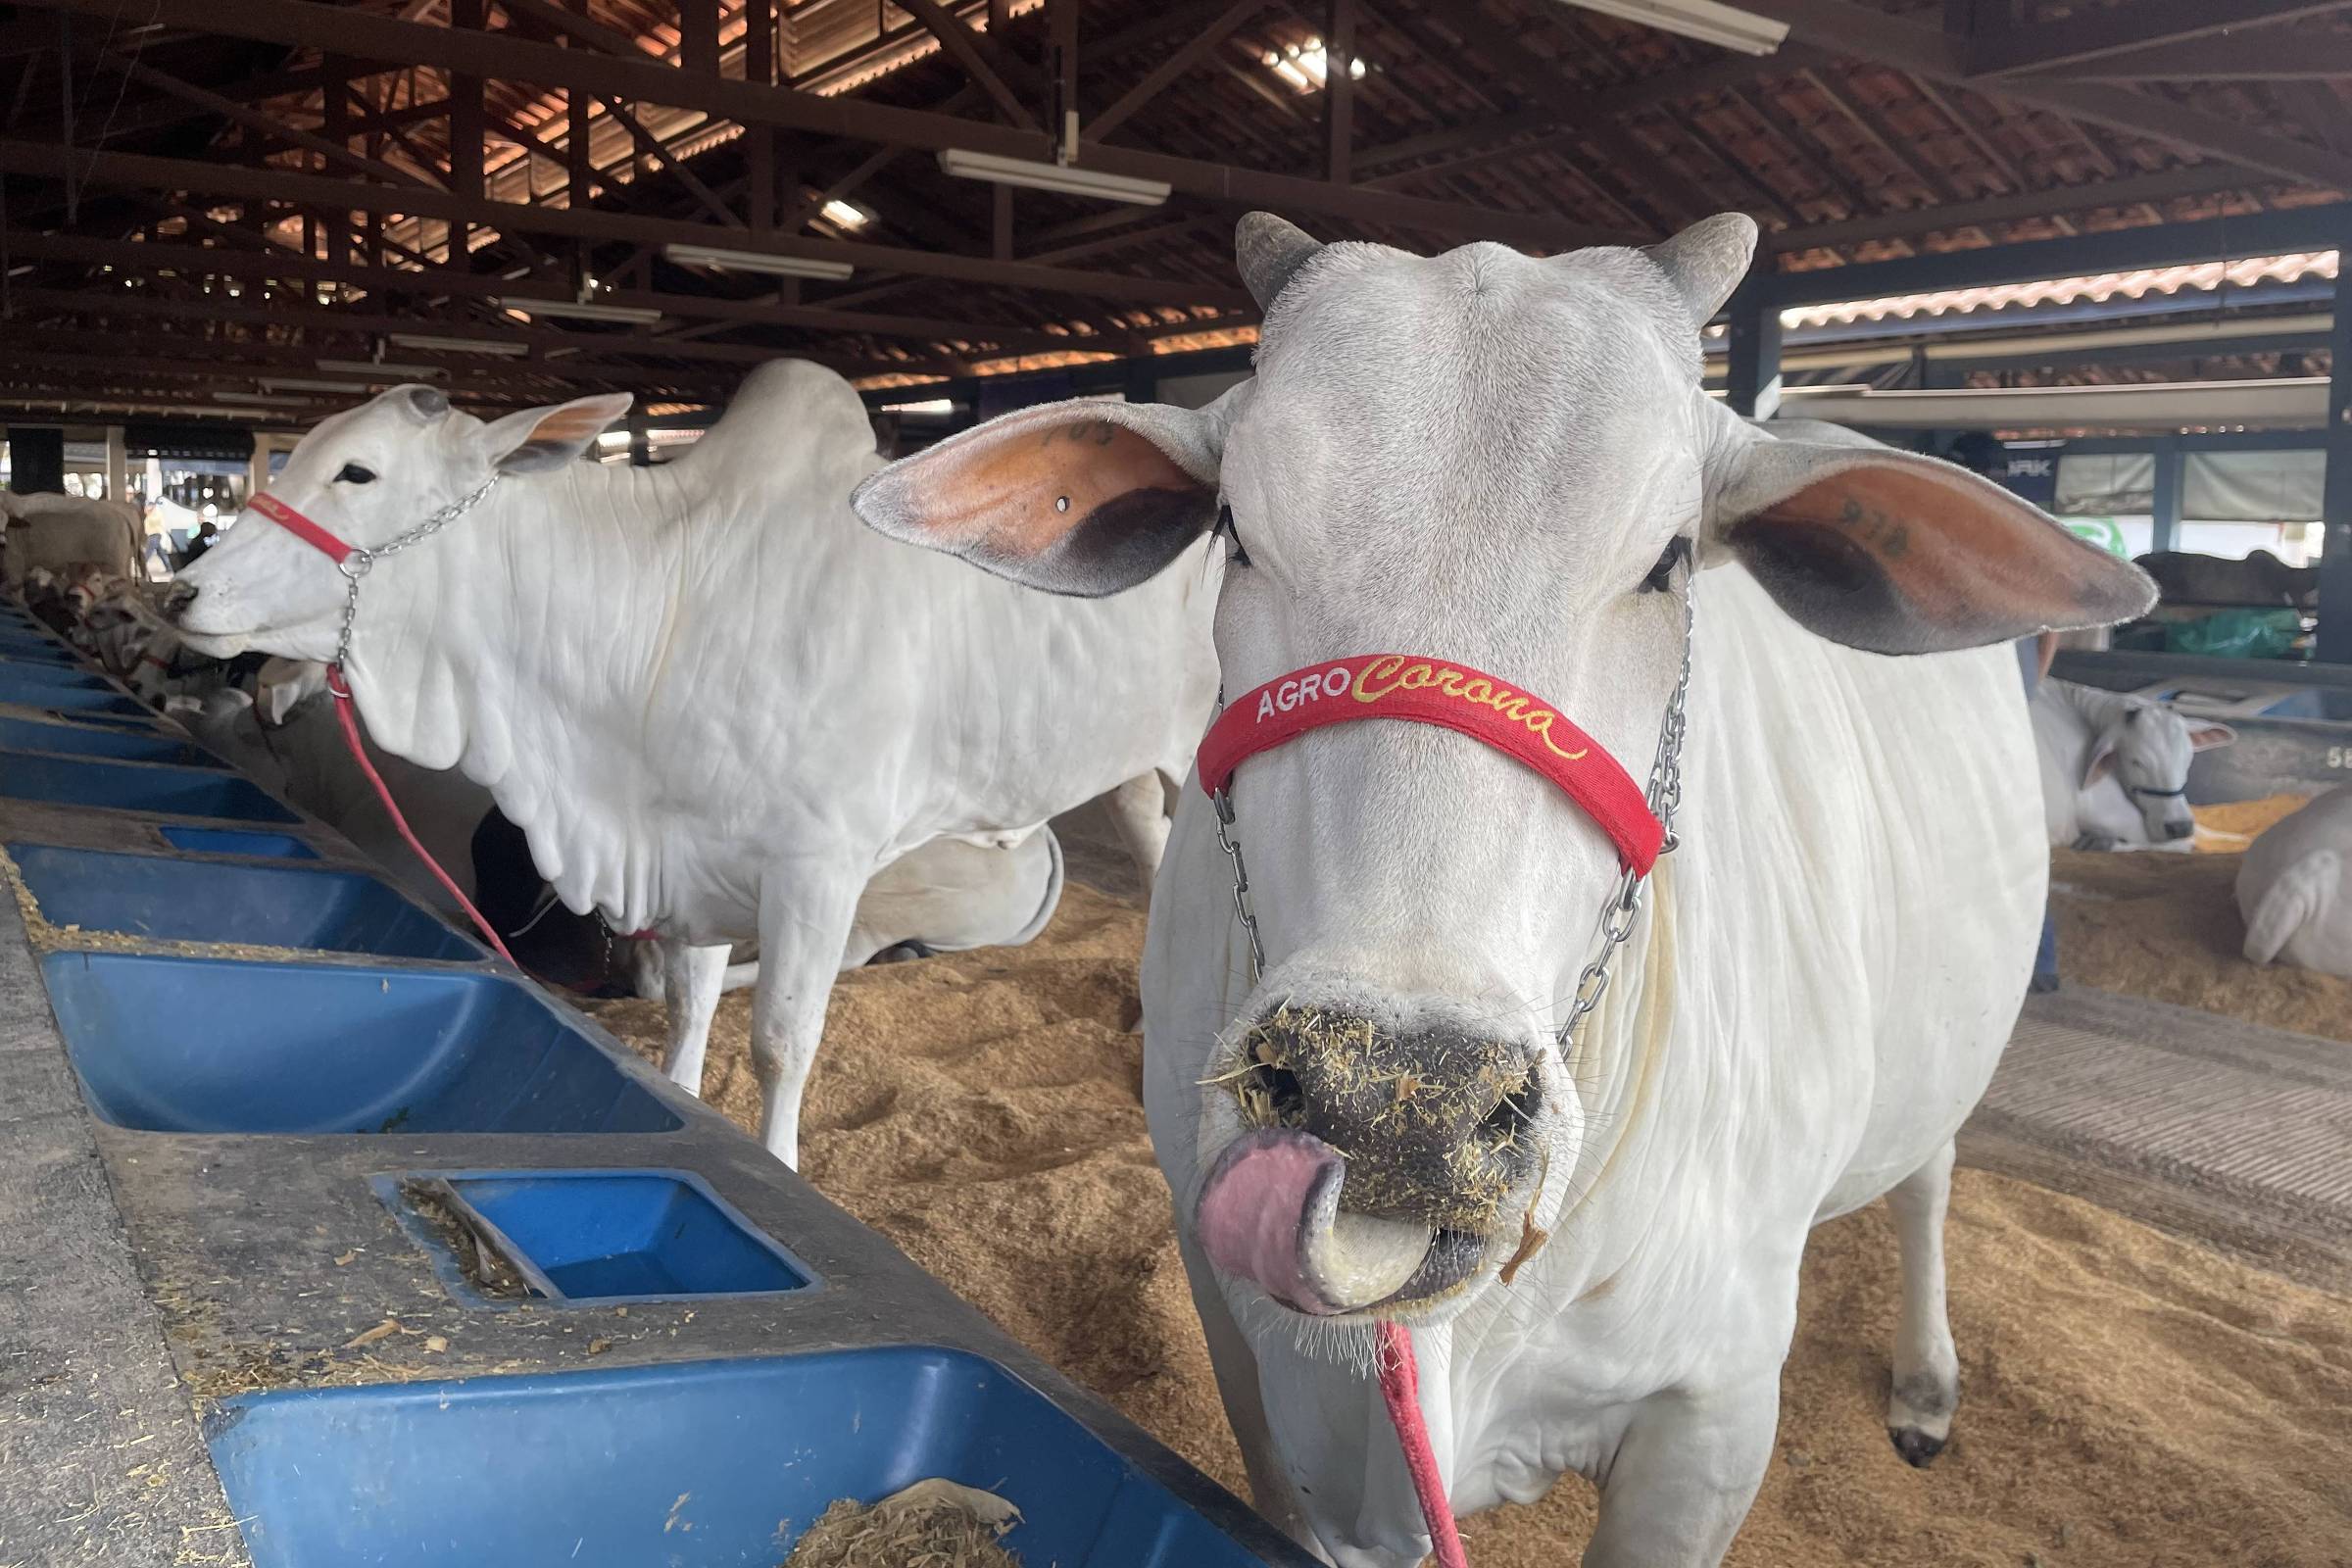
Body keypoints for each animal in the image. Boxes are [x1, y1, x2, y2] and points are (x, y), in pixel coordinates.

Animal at [168, 359, 1217, 1164]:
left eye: (358, 472)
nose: (182, 593)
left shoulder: (815, 868)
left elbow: (782, 1042)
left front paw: (780, 1163)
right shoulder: (692, 855)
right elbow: (689, 1008)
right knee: (1147, 833)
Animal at [851, 212, 2152, 1568]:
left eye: (1672, 560)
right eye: (1237, 533)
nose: (1391, 1103)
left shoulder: (1712, 1416)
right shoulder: (1246, 1363)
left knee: (1931, 1172)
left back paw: (1926, 1383)